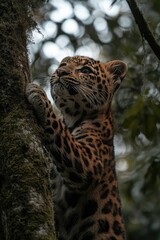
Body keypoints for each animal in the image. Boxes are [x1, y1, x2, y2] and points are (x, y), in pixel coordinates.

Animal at [26, 55, 127, 239]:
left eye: (85, 70)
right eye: (63, 65)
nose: (60, 71)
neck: (71, 118)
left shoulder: (89, 161)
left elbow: (60, 131)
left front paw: (38, 95)